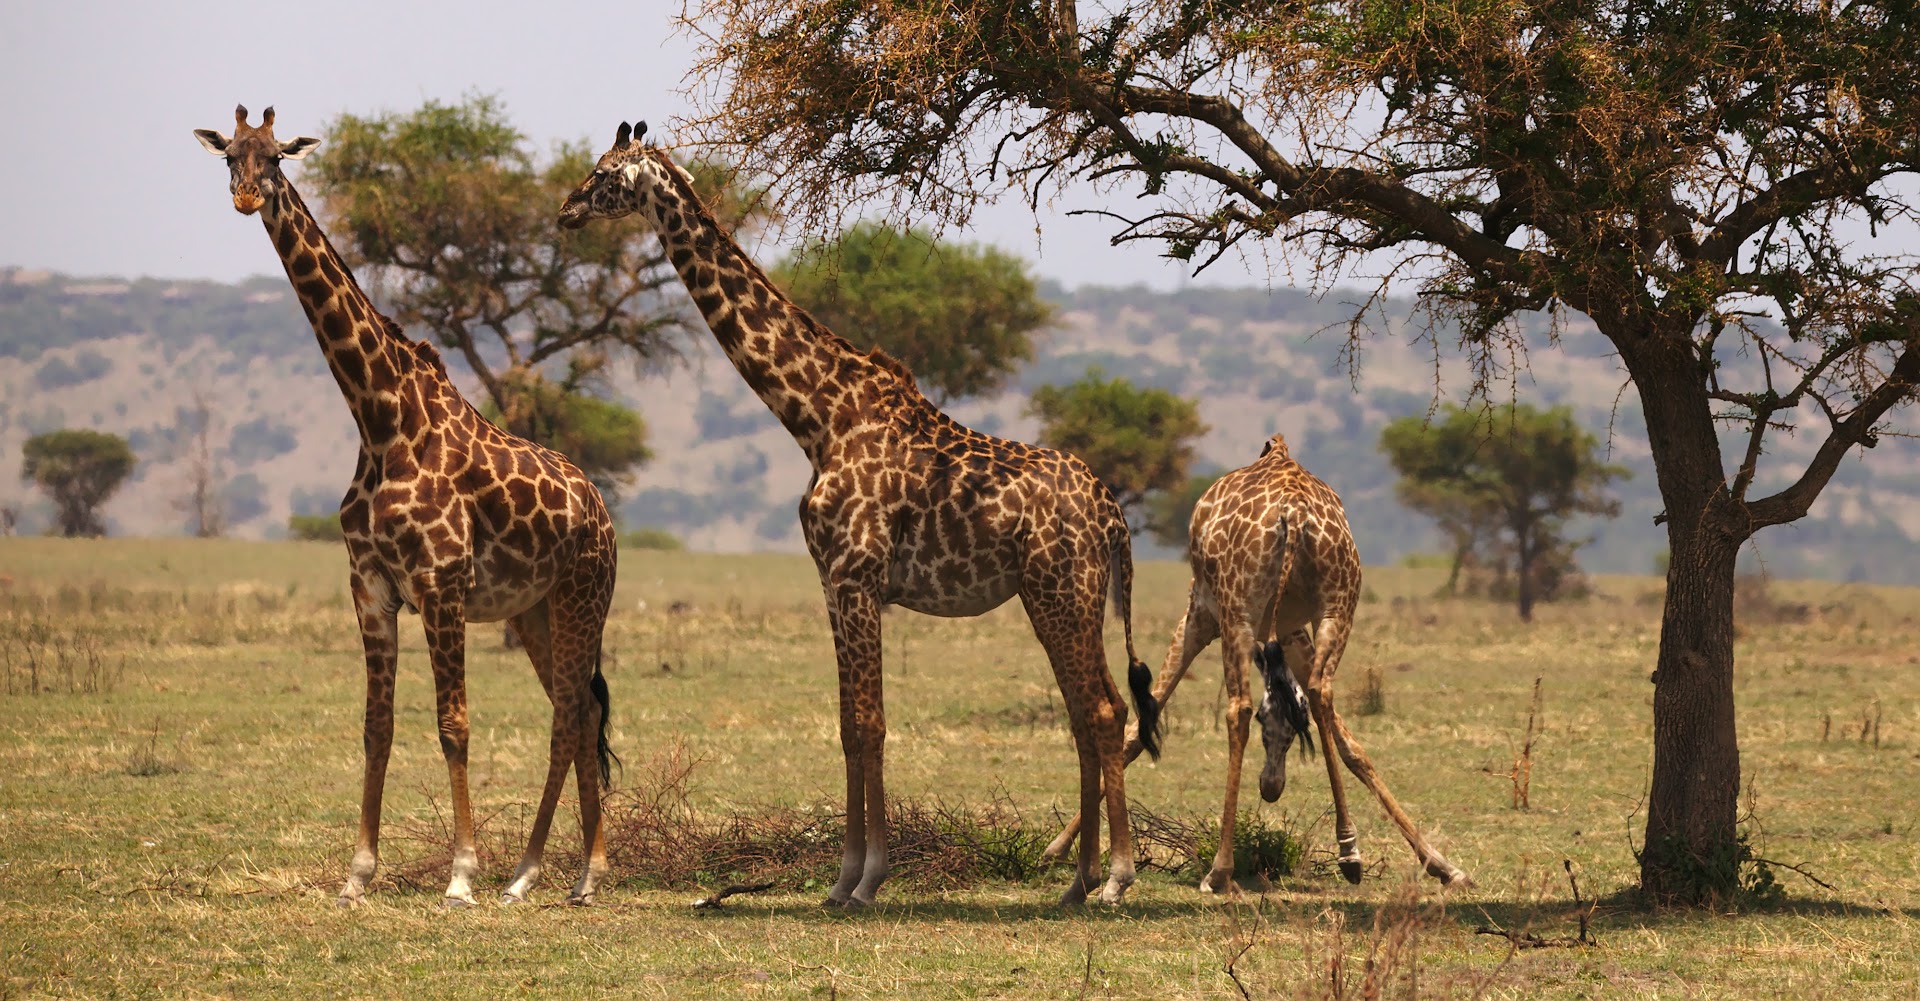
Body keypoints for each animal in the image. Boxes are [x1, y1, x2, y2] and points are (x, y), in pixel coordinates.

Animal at [193, 107, 618, 906]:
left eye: (278, 155)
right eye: (229, 155)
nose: (245, 197)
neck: (380, 417)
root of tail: (602, 510)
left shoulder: (440, 582)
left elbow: (453, 724)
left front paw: (461, 875)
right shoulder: (370, 585)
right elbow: (376, 726)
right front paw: (357, 874)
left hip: (584, 597)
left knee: (575, 712)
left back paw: (577, 871)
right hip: (534, 610)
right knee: (574, 710)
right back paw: (544, 871)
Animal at [549, 122, 1159, 906]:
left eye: (602, 174)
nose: (564, 212)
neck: (817, 417)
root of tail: (1113, 513)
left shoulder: (858, 576)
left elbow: (869, 724)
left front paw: (868, 878)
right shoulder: (832, 582)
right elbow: (847, 725)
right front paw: (842, 880)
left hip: (1064, 590)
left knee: (1102, 710)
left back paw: (1114, 876)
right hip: (1052, 595)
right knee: (1093, 711)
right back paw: (1078, 880)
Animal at [1052, 428, 1466, 891]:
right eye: (1278, 727)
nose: (1270, 788)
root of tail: (1295, 513)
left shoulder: (1200, 612)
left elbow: (1138, 731)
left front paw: (1058, 848)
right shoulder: (1289, 630)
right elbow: (1345, 738)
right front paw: (1439, 863)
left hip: (1238, 610)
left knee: (1238, 710)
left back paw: (1220, 869)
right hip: (1337, 607)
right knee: (1322, 693)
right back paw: (1350, 851)